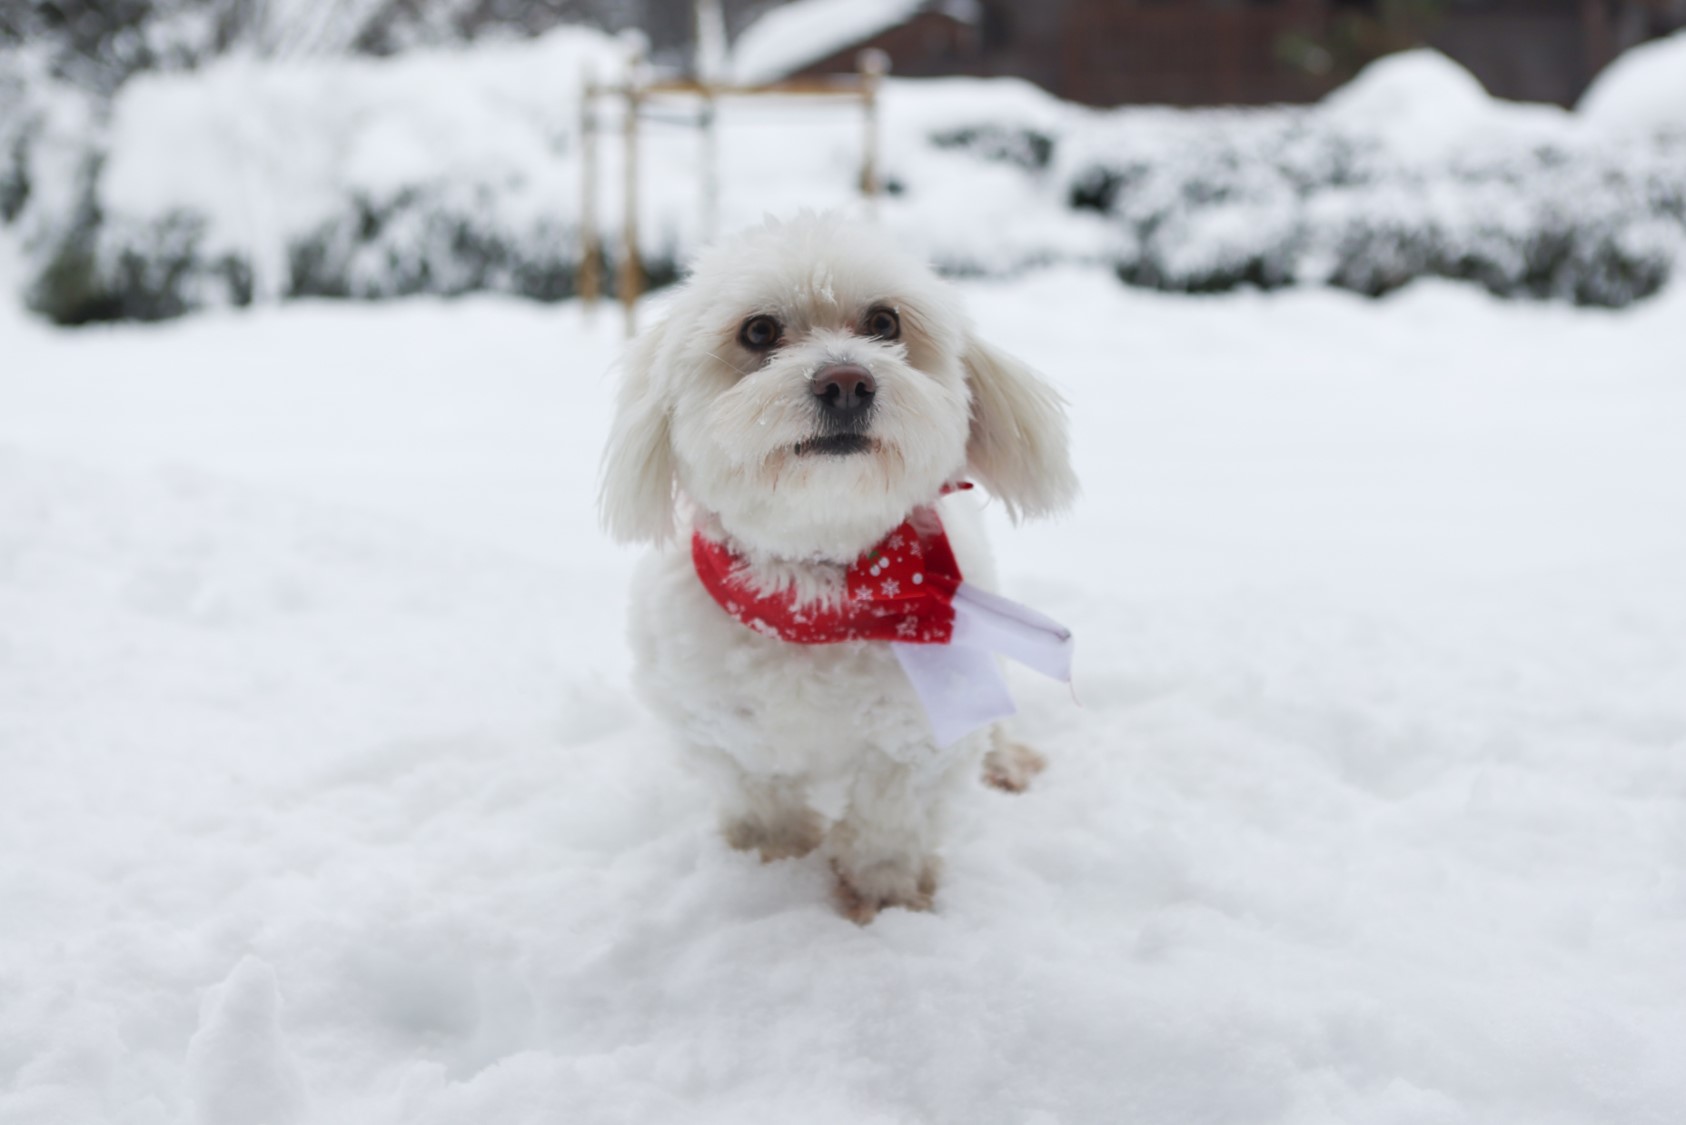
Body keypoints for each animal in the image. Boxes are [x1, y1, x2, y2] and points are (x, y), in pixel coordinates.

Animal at [603, 213, 1079, 924]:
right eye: (759, 331)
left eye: (884, 322)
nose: (847, 381)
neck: (820, 593)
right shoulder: (719, 730)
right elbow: (761, 800)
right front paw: (769, 864)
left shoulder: (916, 738)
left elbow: (889, 825)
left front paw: (884, 898)